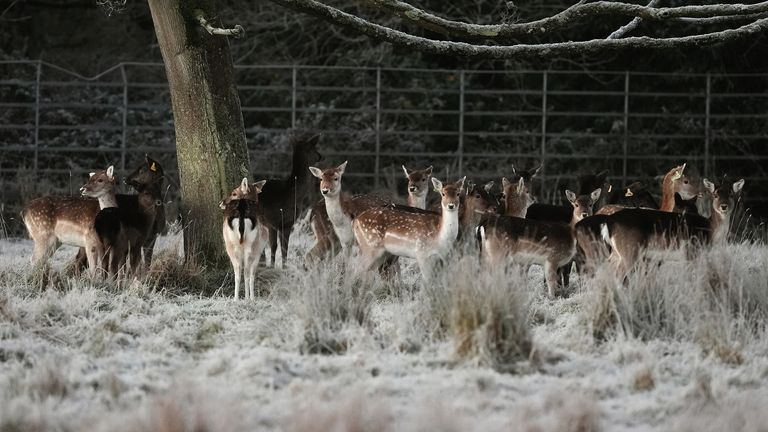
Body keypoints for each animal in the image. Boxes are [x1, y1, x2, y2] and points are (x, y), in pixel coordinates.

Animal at [476, 187, 604, 298]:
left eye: (591, 204)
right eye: (576, 204)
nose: (584, 214)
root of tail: (483, 226)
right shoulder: (552, 258)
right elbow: (551, 282)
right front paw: (552, 298)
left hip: (485, 254)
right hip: (497, 253)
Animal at [600, 177, 744, 278]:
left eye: (731, 195)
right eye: (715, 195)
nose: (724, 206)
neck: (709, 230)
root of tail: (609, 222)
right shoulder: (692, 252)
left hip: (616, 253)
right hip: (630, 250)